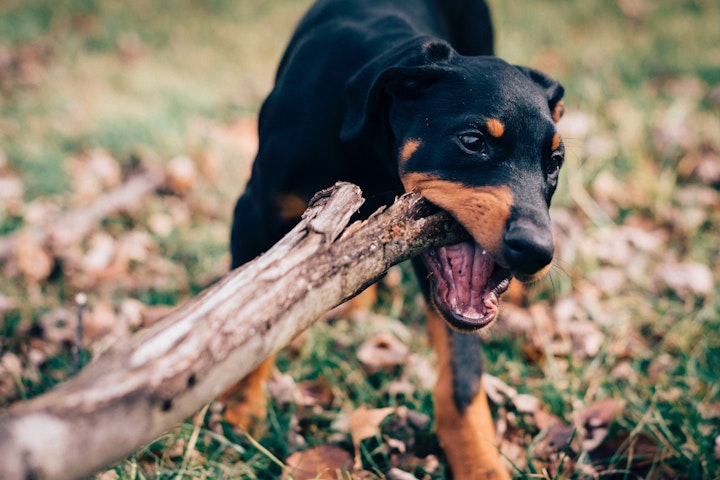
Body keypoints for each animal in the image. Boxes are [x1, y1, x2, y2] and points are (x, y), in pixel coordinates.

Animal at [224, 1, 564, 478]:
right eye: (472, 140)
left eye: (555, 162)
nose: (536, 251)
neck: (369, 149)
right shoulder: (252, 214)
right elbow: (251, 322)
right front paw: (241, 409)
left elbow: (462, 378)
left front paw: (481, 464)